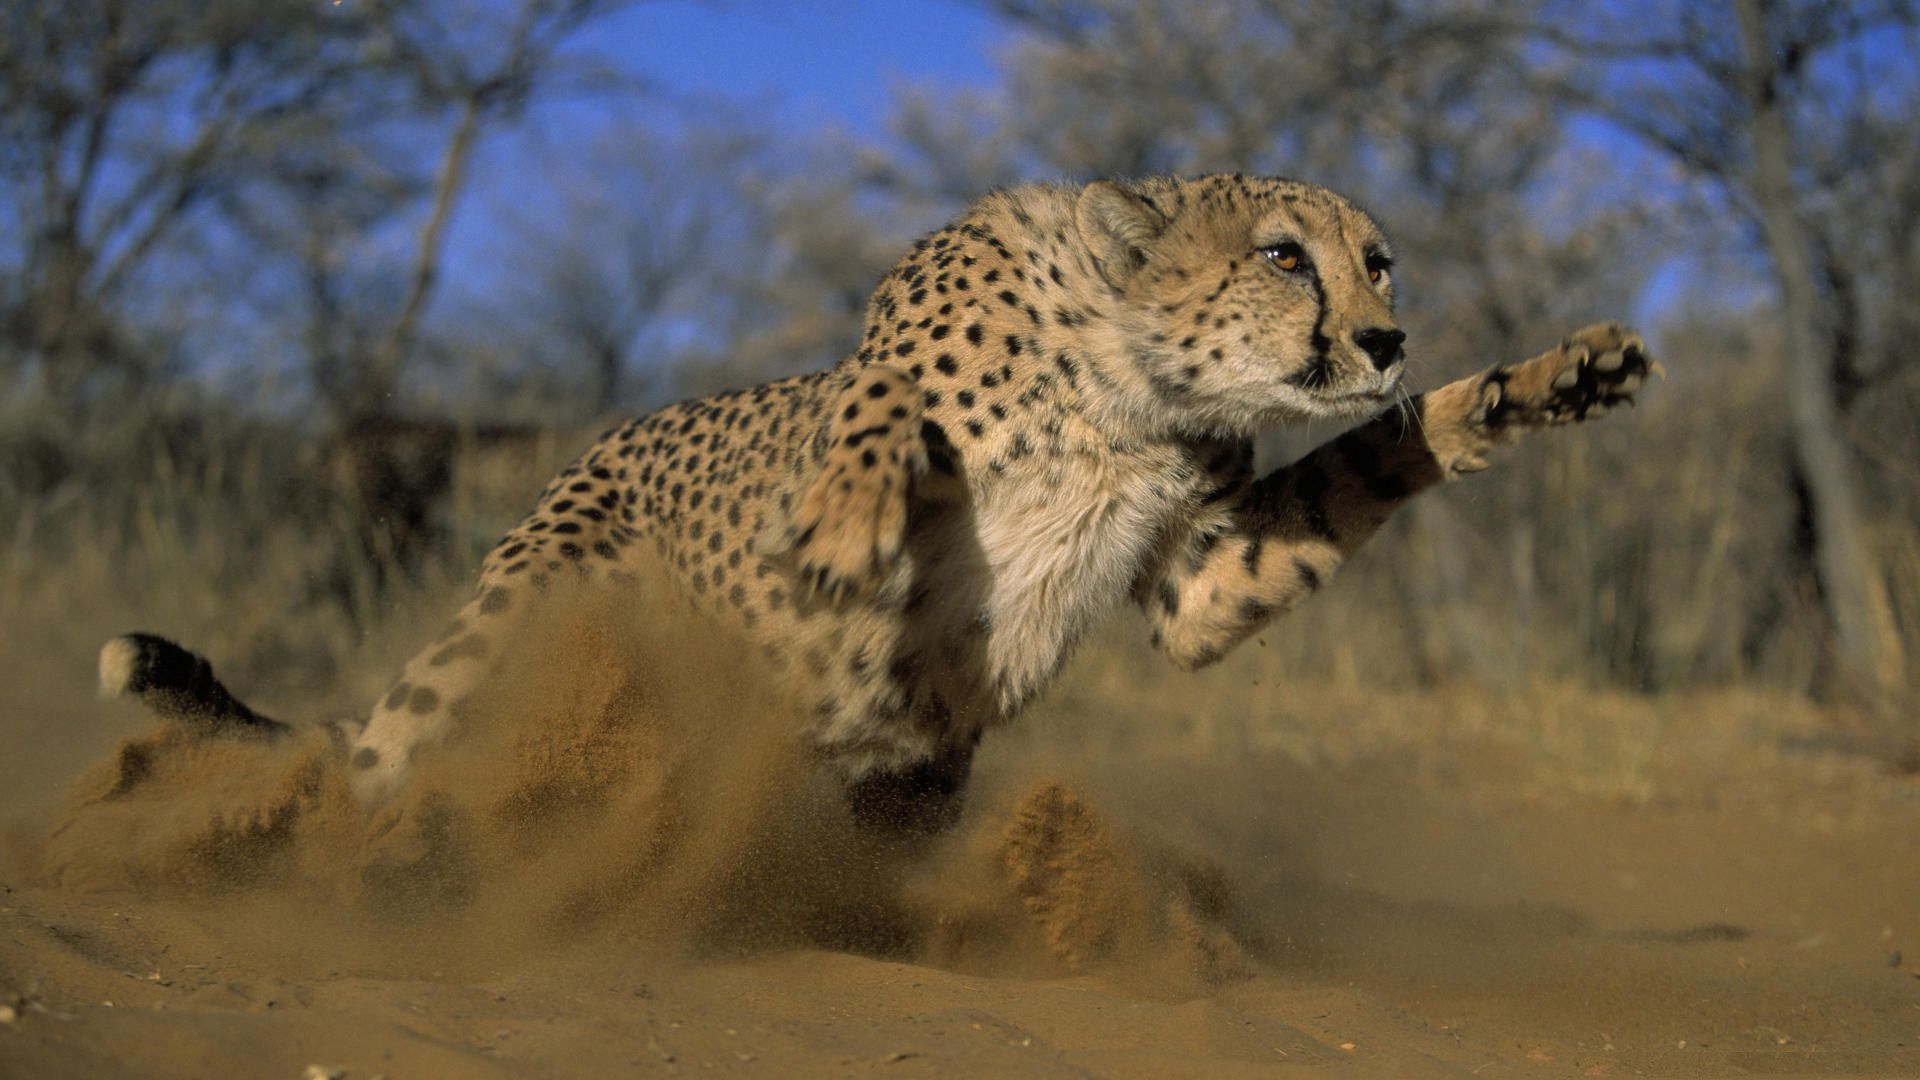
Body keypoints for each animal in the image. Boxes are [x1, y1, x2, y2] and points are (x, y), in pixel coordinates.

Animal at [101, 176, 1666, 834]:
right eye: (1286, 255)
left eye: (1378, 260)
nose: (1388, 338)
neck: (1129, 387)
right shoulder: (886, 355)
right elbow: (874, 410)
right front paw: (853, 523)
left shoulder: (1203, 577)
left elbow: (1372, 465)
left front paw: (1544, 382)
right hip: (526, 609)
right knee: (389, 760)